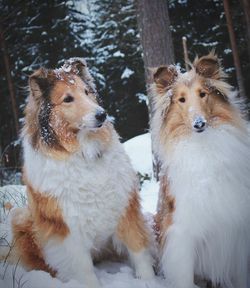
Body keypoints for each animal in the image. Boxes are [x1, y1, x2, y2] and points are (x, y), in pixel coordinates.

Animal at [0, 57, 154, 286]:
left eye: (87, 92)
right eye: (67, 99)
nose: (102, 114)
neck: (84, 153)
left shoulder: (125, 206)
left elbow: (138, 247)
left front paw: (148, 280)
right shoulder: (66, 228)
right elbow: (82, 267)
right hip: (22, 217)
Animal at [151, 53, 250, 286]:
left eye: (203, 94)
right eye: (181, 100)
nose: (199, 124)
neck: (204, 147)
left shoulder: (238, 232)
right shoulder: (182, 233)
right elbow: (184, 276)